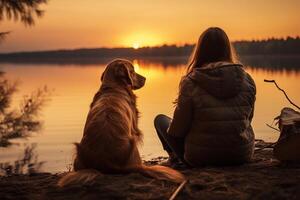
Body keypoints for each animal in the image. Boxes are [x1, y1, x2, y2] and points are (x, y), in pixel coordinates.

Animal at [58, 58, 185, 187]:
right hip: (133, 145)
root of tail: (106, 164)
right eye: (132, 71)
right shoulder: (135, 128)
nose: (145, 78)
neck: (114, 87)